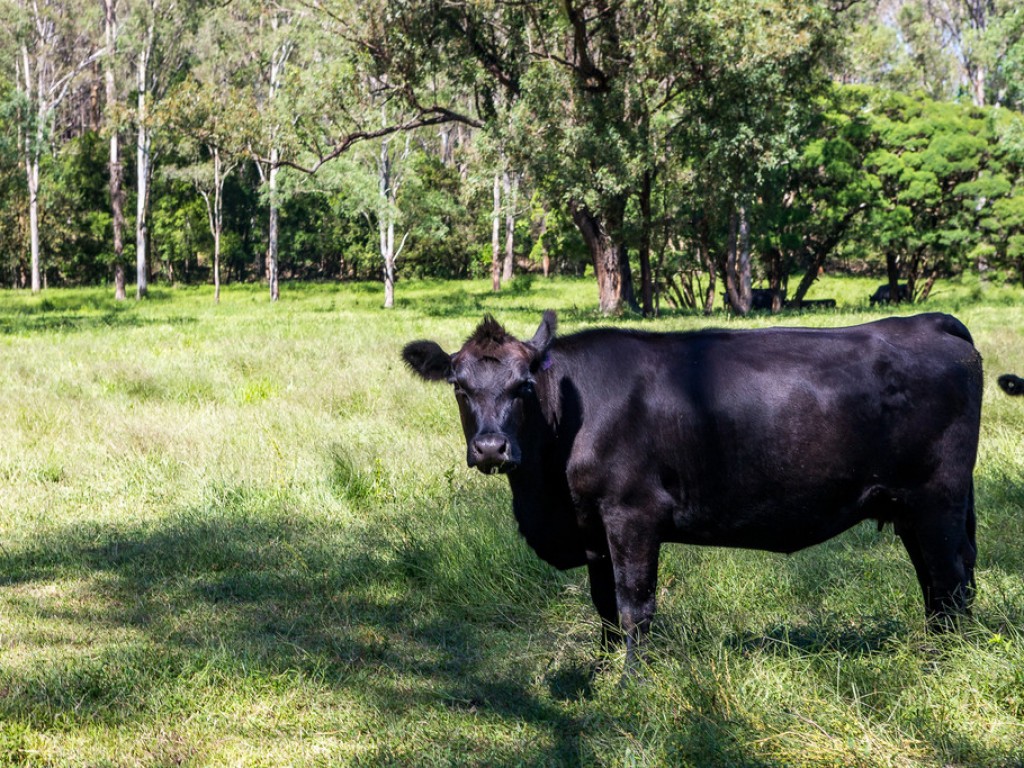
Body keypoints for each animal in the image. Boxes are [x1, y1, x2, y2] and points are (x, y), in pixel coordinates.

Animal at [402, 312, 983, 675]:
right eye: (459, 387)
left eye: (523, 386)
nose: (491, 448)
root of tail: (928, 322)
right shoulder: (593, 528)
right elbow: (604, 607)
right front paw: (606, 670)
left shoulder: (632, 514)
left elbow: (634, 606)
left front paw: (632, 684)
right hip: (912, 507)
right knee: (939, 586)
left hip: (935, 499)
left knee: (950, 584)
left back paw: (942, 666)